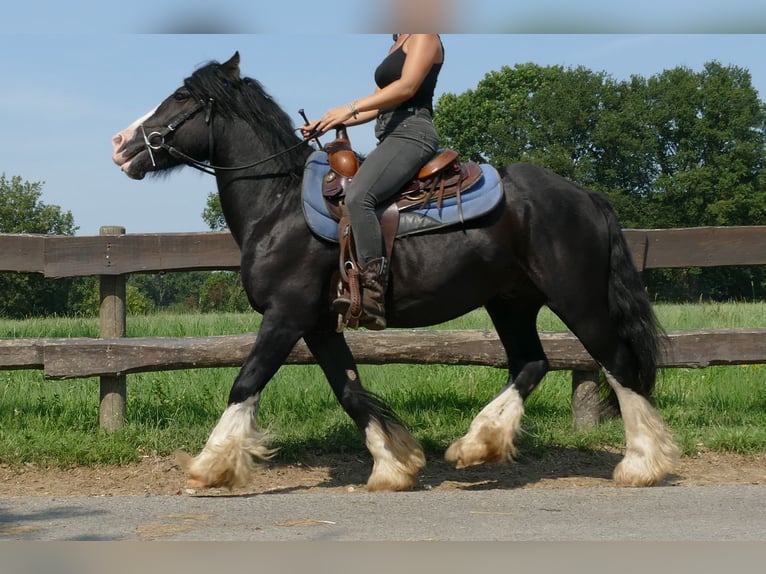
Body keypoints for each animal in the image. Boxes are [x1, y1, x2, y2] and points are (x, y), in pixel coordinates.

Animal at [112, 54, 680, 492]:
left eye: (181, 97)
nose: (121, 144)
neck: (279, 206)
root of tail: (585, 195)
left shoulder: (285, 317)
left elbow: (245, 383)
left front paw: (209, 466)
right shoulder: (319, 325)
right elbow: (350, 392)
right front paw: (394, 465)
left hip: (577, 299)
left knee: (617, 365)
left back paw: (641, 465)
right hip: (511, 301)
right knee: (531, 363)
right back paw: (476, 444)